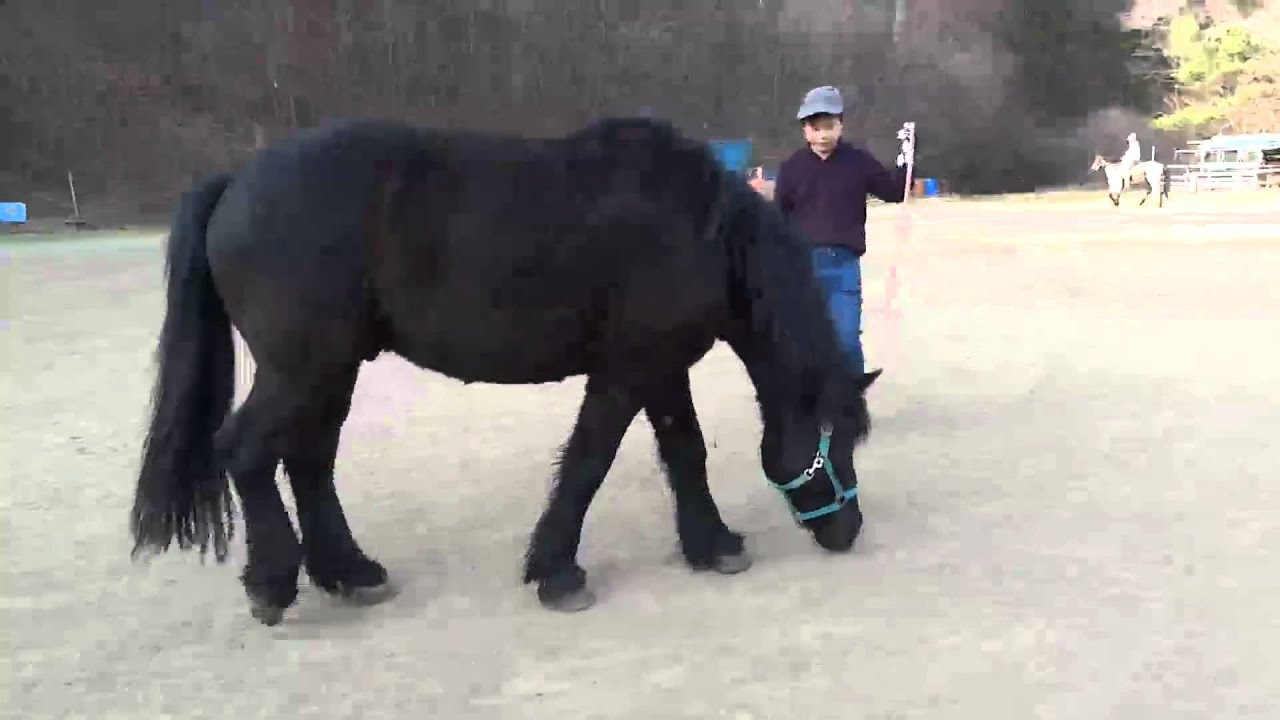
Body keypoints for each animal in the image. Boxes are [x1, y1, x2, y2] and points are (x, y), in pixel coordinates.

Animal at [129, 117, 882, 627]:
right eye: (836, 441)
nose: (848, 530)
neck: (701, 230)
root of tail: (237, 181)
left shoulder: (661, 368)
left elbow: (683, 451)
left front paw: (713, 544)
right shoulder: (627, 370)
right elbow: (589, 461)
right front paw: (558, 572)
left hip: (330, 371)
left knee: (309, 460)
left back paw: (351, 572)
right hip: (300, 369)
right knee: (246, 451)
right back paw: (271, 584)